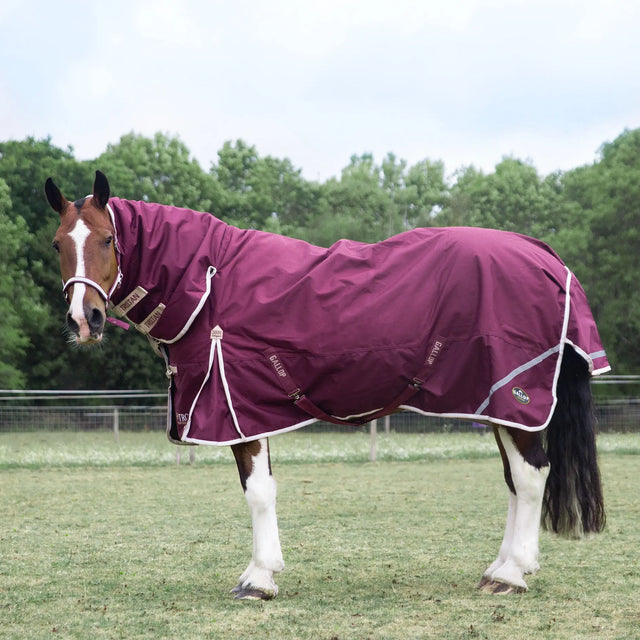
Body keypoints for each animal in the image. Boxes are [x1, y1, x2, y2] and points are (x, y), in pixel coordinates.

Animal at [45, 170, 609, 599]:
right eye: (57, 244)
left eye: (108, 239)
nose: (84, 320)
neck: (208, 283)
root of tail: (547, 257)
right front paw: (262, 571)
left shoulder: (237, 409)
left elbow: (258, 493)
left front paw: (258, 580)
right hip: (495, 406)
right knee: (516, 480)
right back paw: (499, 568)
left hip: (516, 400)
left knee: (532, 476)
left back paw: (512, 575)